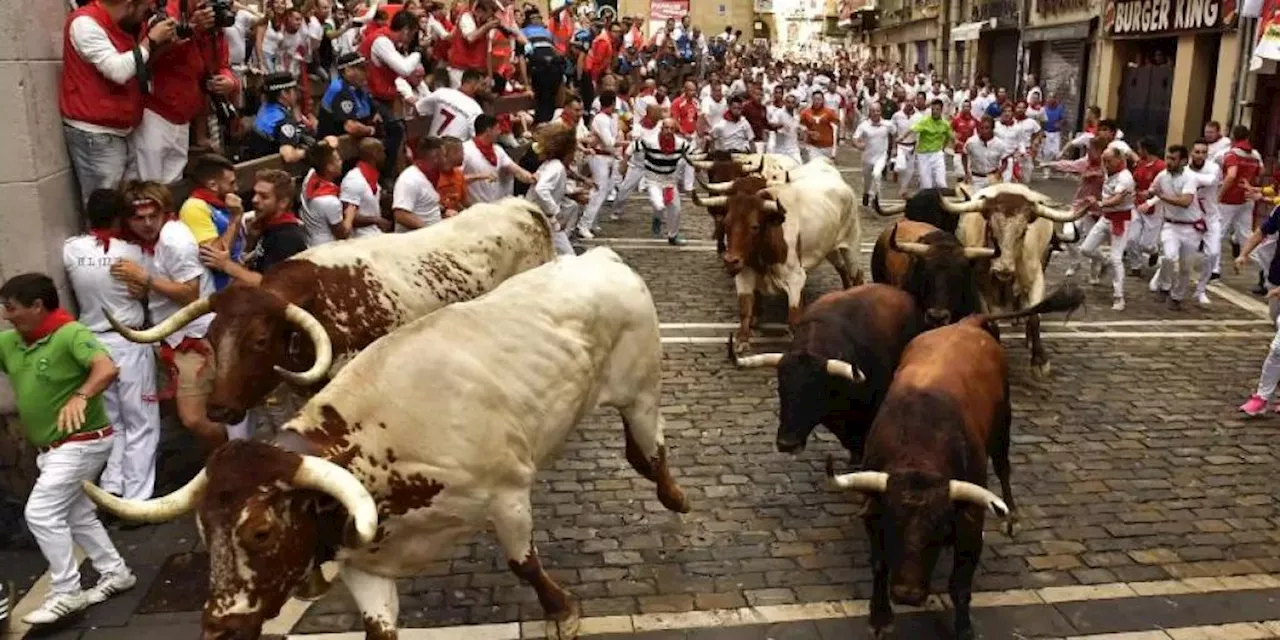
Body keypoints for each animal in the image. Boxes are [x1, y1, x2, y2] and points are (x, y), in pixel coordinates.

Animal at [81, 248, 691, 640]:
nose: (220, 629)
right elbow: (379, 630)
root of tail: (602, 258)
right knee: (637, 453)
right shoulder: (366, 569)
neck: (381, 447)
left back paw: (677, 498)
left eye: (260, 531)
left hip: (641, 389)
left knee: (652, 450)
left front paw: (562, 610)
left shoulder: (508, 497)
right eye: (205, 533)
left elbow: (524, 563)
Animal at [696, 161, 865, 350]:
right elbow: (745, 308)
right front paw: (743, 337)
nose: (730, 260)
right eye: (726, 223)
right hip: (828, 247)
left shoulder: (795, 278)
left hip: (851, 244)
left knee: (856, 274)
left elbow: (793, 316)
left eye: (755, 226)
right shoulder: (744, 272)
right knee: (841, 268)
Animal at [936, 183, 1085, 376]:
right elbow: (991, 321)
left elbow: (1034, 316)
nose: (1003, 268)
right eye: (991, 229)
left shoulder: (1036, 279)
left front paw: (1040, 360)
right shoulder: (980, 287)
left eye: (1023, 231)